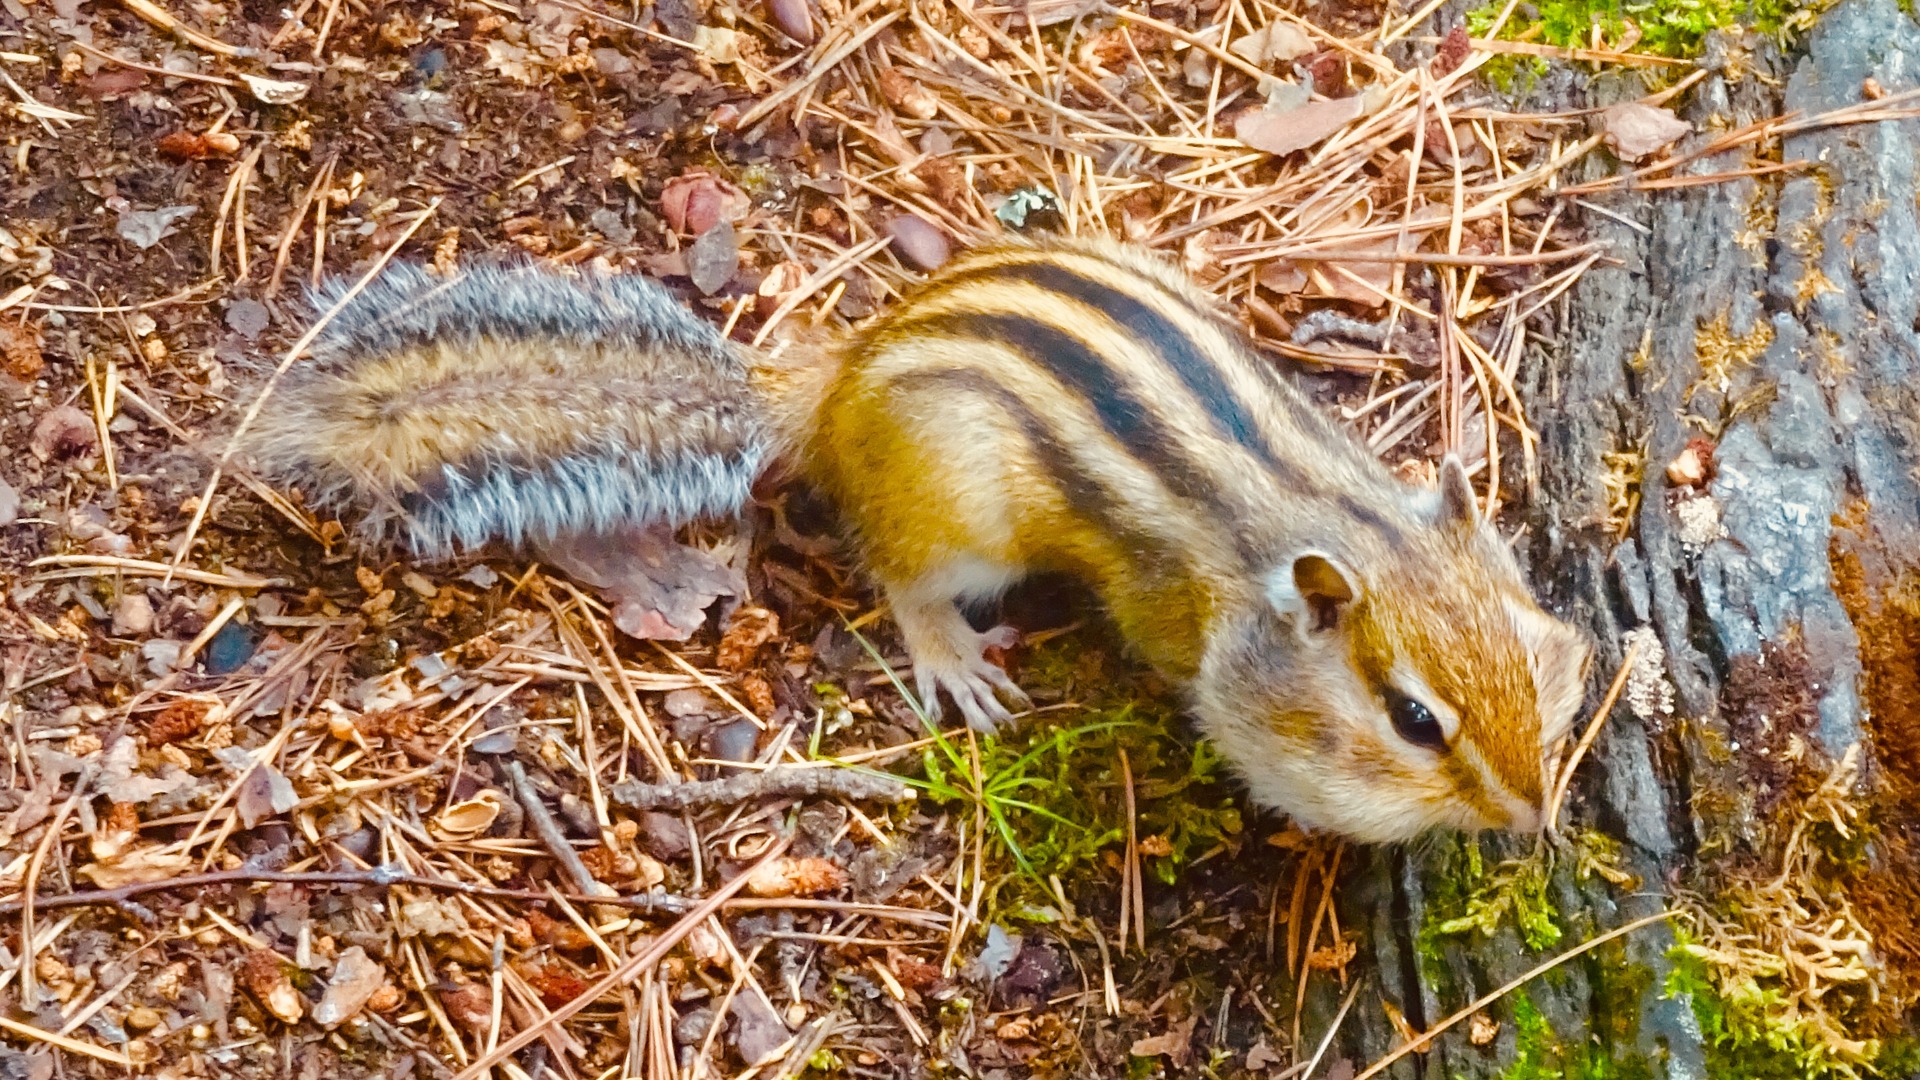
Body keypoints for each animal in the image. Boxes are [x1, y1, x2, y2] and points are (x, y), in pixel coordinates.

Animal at [240, 235, 1593, 843]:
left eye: (1533, 667)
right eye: (1414, 720)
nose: (1533, 819)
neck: (1333, 513)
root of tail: (836, 386)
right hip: (955, 508)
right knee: (897, 576)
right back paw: (950, 653)